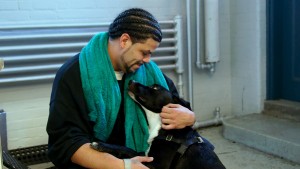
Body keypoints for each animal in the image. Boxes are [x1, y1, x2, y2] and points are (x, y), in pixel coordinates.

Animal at [90, 80, 226, 169]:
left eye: (155, 88)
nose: (130, 80)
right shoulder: (146, 156)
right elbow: (128, 150)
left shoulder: (156, 166)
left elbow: (131, 153)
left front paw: (101, 145)